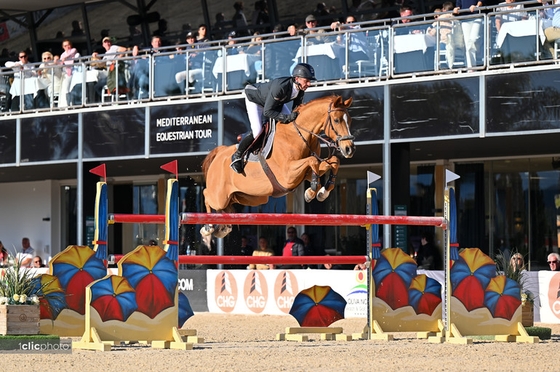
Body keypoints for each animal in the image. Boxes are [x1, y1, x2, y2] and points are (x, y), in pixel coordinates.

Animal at [201, 94, 354, 237]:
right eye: (336, 120)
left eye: (350, 120)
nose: (349, 149)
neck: (298, 135)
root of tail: (219, 153)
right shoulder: (288, 175)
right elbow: (313, 161)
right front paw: (311, 192)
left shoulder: (305, 174)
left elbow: (333, 161)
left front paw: (323, 191)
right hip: (219, 196)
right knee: (206, 194)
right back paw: (208, 227)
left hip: (250, 197)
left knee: (225, 206)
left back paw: (223, 227)